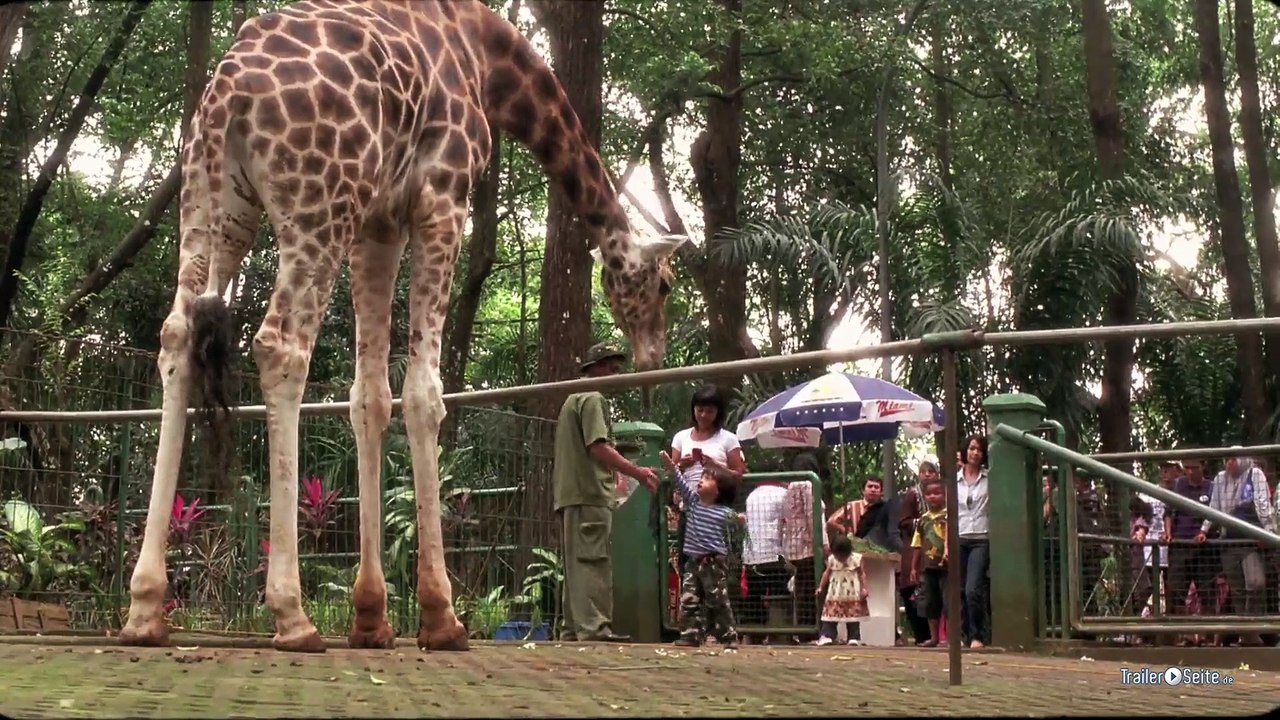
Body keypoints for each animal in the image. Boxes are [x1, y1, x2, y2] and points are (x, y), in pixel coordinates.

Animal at [118, 0, 686, 653]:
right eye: (665, 285)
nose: (652, 355)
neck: (490, 61)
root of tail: (227, 92)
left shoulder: (379, 224)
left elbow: (369, 397)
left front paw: (372, 617)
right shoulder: (442, 198)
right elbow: (423, 394)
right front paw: (441, 616)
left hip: (214, 204)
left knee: (177, 338)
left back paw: (145, 608)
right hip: (317, 208)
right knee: (281, 345)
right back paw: (292, 614)